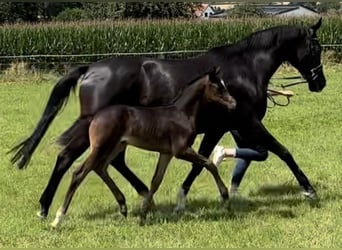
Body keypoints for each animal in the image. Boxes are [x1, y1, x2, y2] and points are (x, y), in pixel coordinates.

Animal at [50, 67, 236, 228]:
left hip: (116, 146)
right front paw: (226, 198)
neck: (182, 113)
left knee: (100, 167)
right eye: (218, 86)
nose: (233, 104)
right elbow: (209, 164)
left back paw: (123, 207)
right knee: (80, 173)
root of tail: (95, 116)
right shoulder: (181, 150)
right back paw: (57, 220)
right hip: (101, 146)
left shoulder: (166, 153)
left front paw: (143, 215)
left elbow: (156, 181)